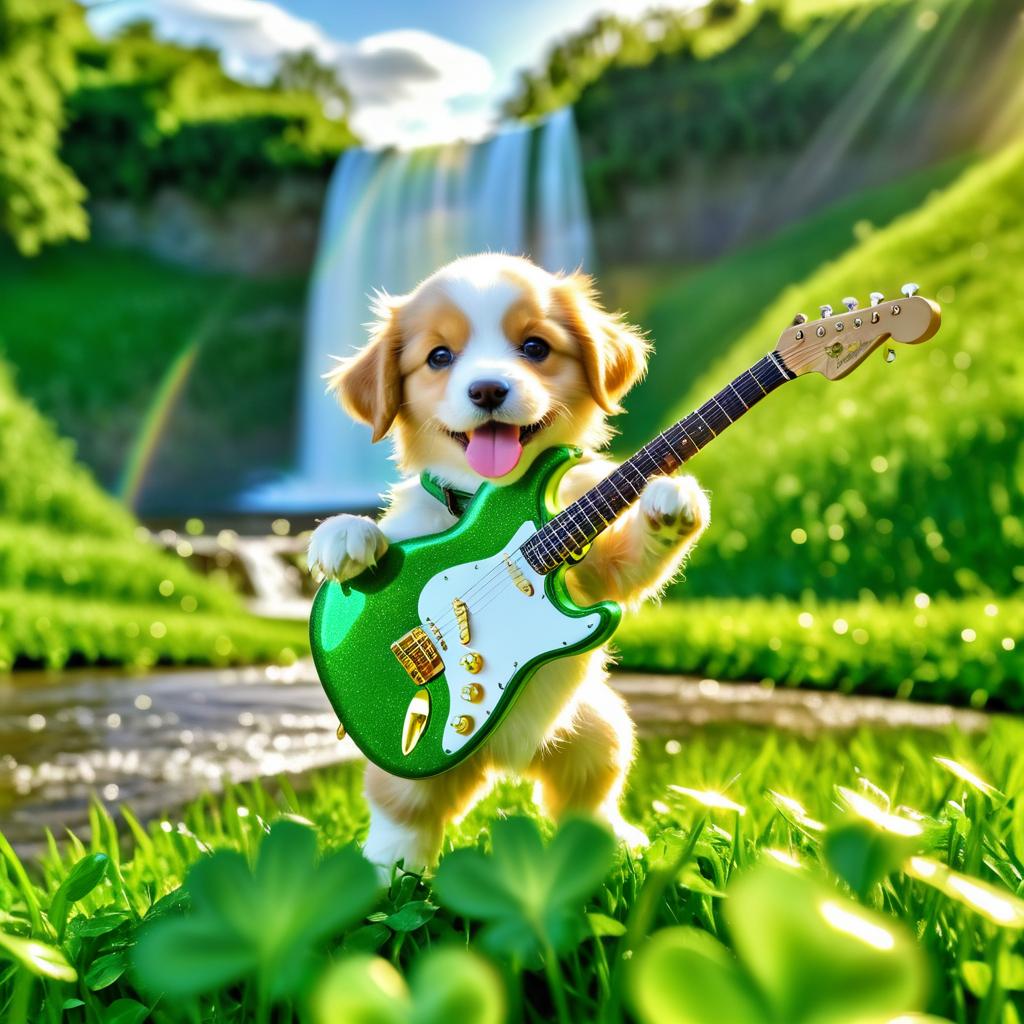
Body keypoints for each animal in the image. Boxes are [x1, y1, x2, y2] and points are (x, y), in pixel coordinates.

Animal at [307, 253, 708, 872]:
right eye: (439, 356)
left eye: (536, 347)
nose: (489, 389)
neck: (486, 493)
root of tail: (501, 760)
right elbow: (373, 536)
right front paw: (342, 535)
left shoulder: (597, 571)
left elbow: (633, 559)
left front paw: (671, 498)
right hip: (408, 774)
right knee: (404, 815)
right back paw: (384, 871)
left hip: (600, 730)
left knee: (587, 797)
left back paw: (617, 845)